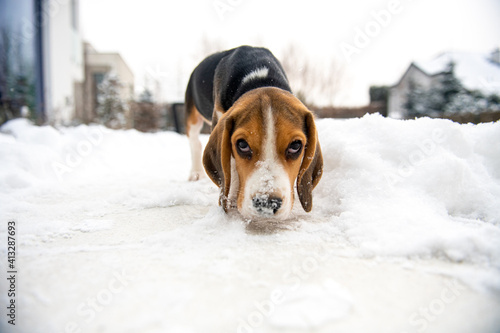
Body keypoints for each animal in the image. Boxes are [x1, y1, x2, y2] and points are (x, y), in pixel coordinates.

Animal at [186, 45, 322, 219]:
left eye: (296, 145)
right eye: (242, 144)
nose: (267, 203)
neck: (259, 78)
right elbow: (230, 164)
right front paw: (230, 197)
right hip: (192, 116)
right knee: (194, 142)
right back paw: (196, 173)